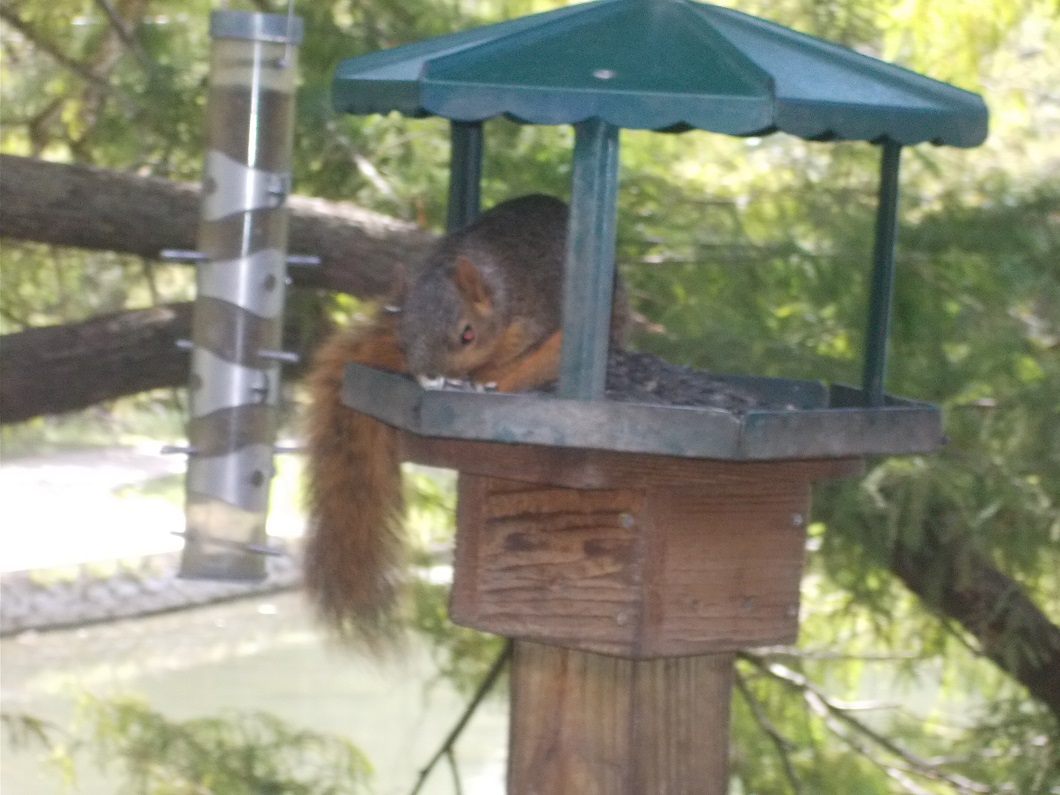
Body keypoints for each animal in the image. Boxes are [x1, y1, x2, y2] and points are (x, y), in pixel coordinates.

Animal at [302, 193, 627, 645]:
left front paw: (483, 377)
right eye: (403, 339)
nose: (429, 376)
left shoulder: (532, 318)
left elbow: (512, 356)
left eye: (467, 334)